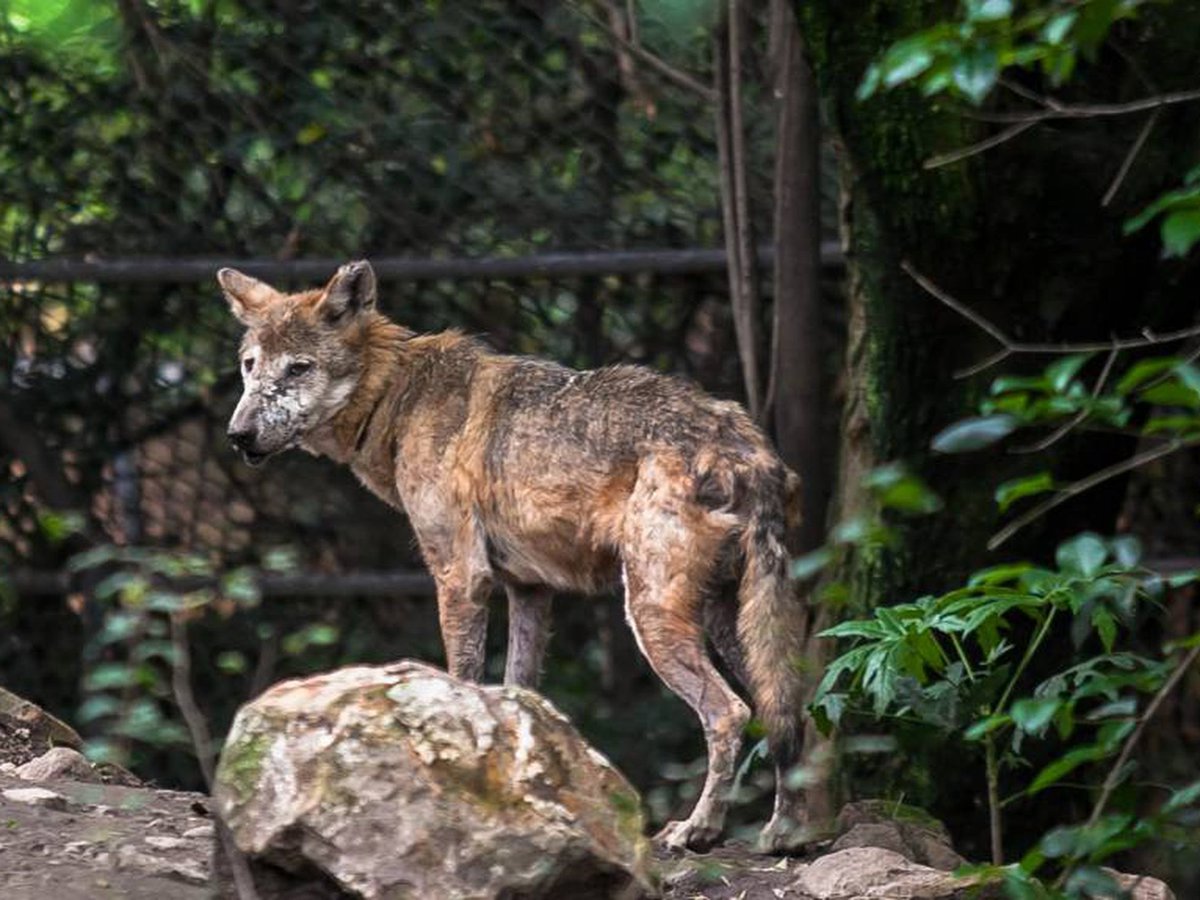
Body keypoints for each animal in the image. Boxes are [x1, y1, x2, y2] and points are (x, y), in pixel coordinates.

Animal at [220, 260, 810, 852]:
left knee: (730, 713)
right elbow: (519, 693)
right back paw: (786, 835)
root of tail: (748, 449)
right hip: (732, 621)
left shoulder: (460, 577)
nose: (238, 434)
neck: (398, 398)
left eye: (299, 368)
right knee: (788, 708)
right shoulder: (529, 590)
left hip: (651, 615)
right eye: (250, 366)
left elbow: (464, 681)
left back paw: (697, 830)